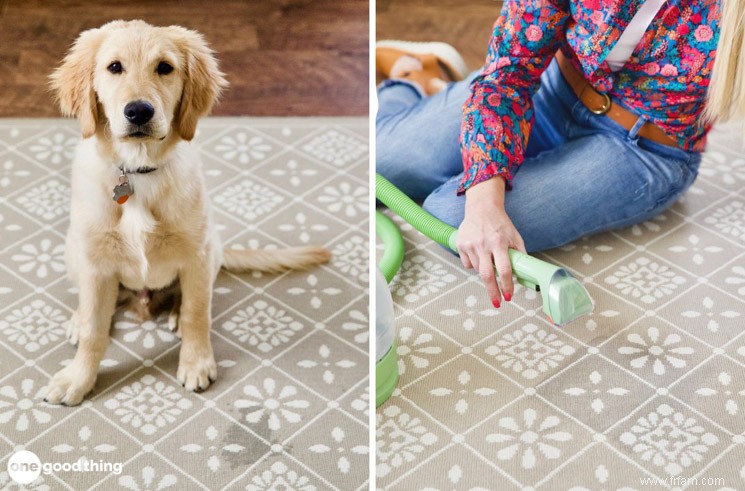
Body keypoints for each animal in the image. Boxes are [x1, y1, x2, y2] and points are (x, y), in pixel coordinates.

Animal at [44, 19, 328, 406]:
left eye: (165, 67)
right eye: (114, 67)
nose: (139, 111)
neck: (138, 172)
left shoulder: (196, 255)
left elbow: (197, 313)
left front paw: (196, 363)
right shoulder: (96, 261)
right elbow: (93, 328)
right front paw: (78, 378)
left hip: (211, 251)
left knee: (190, 298)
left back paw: (175, 313)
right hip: (74, 250)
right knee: (93, 305)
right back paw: (77, 317)